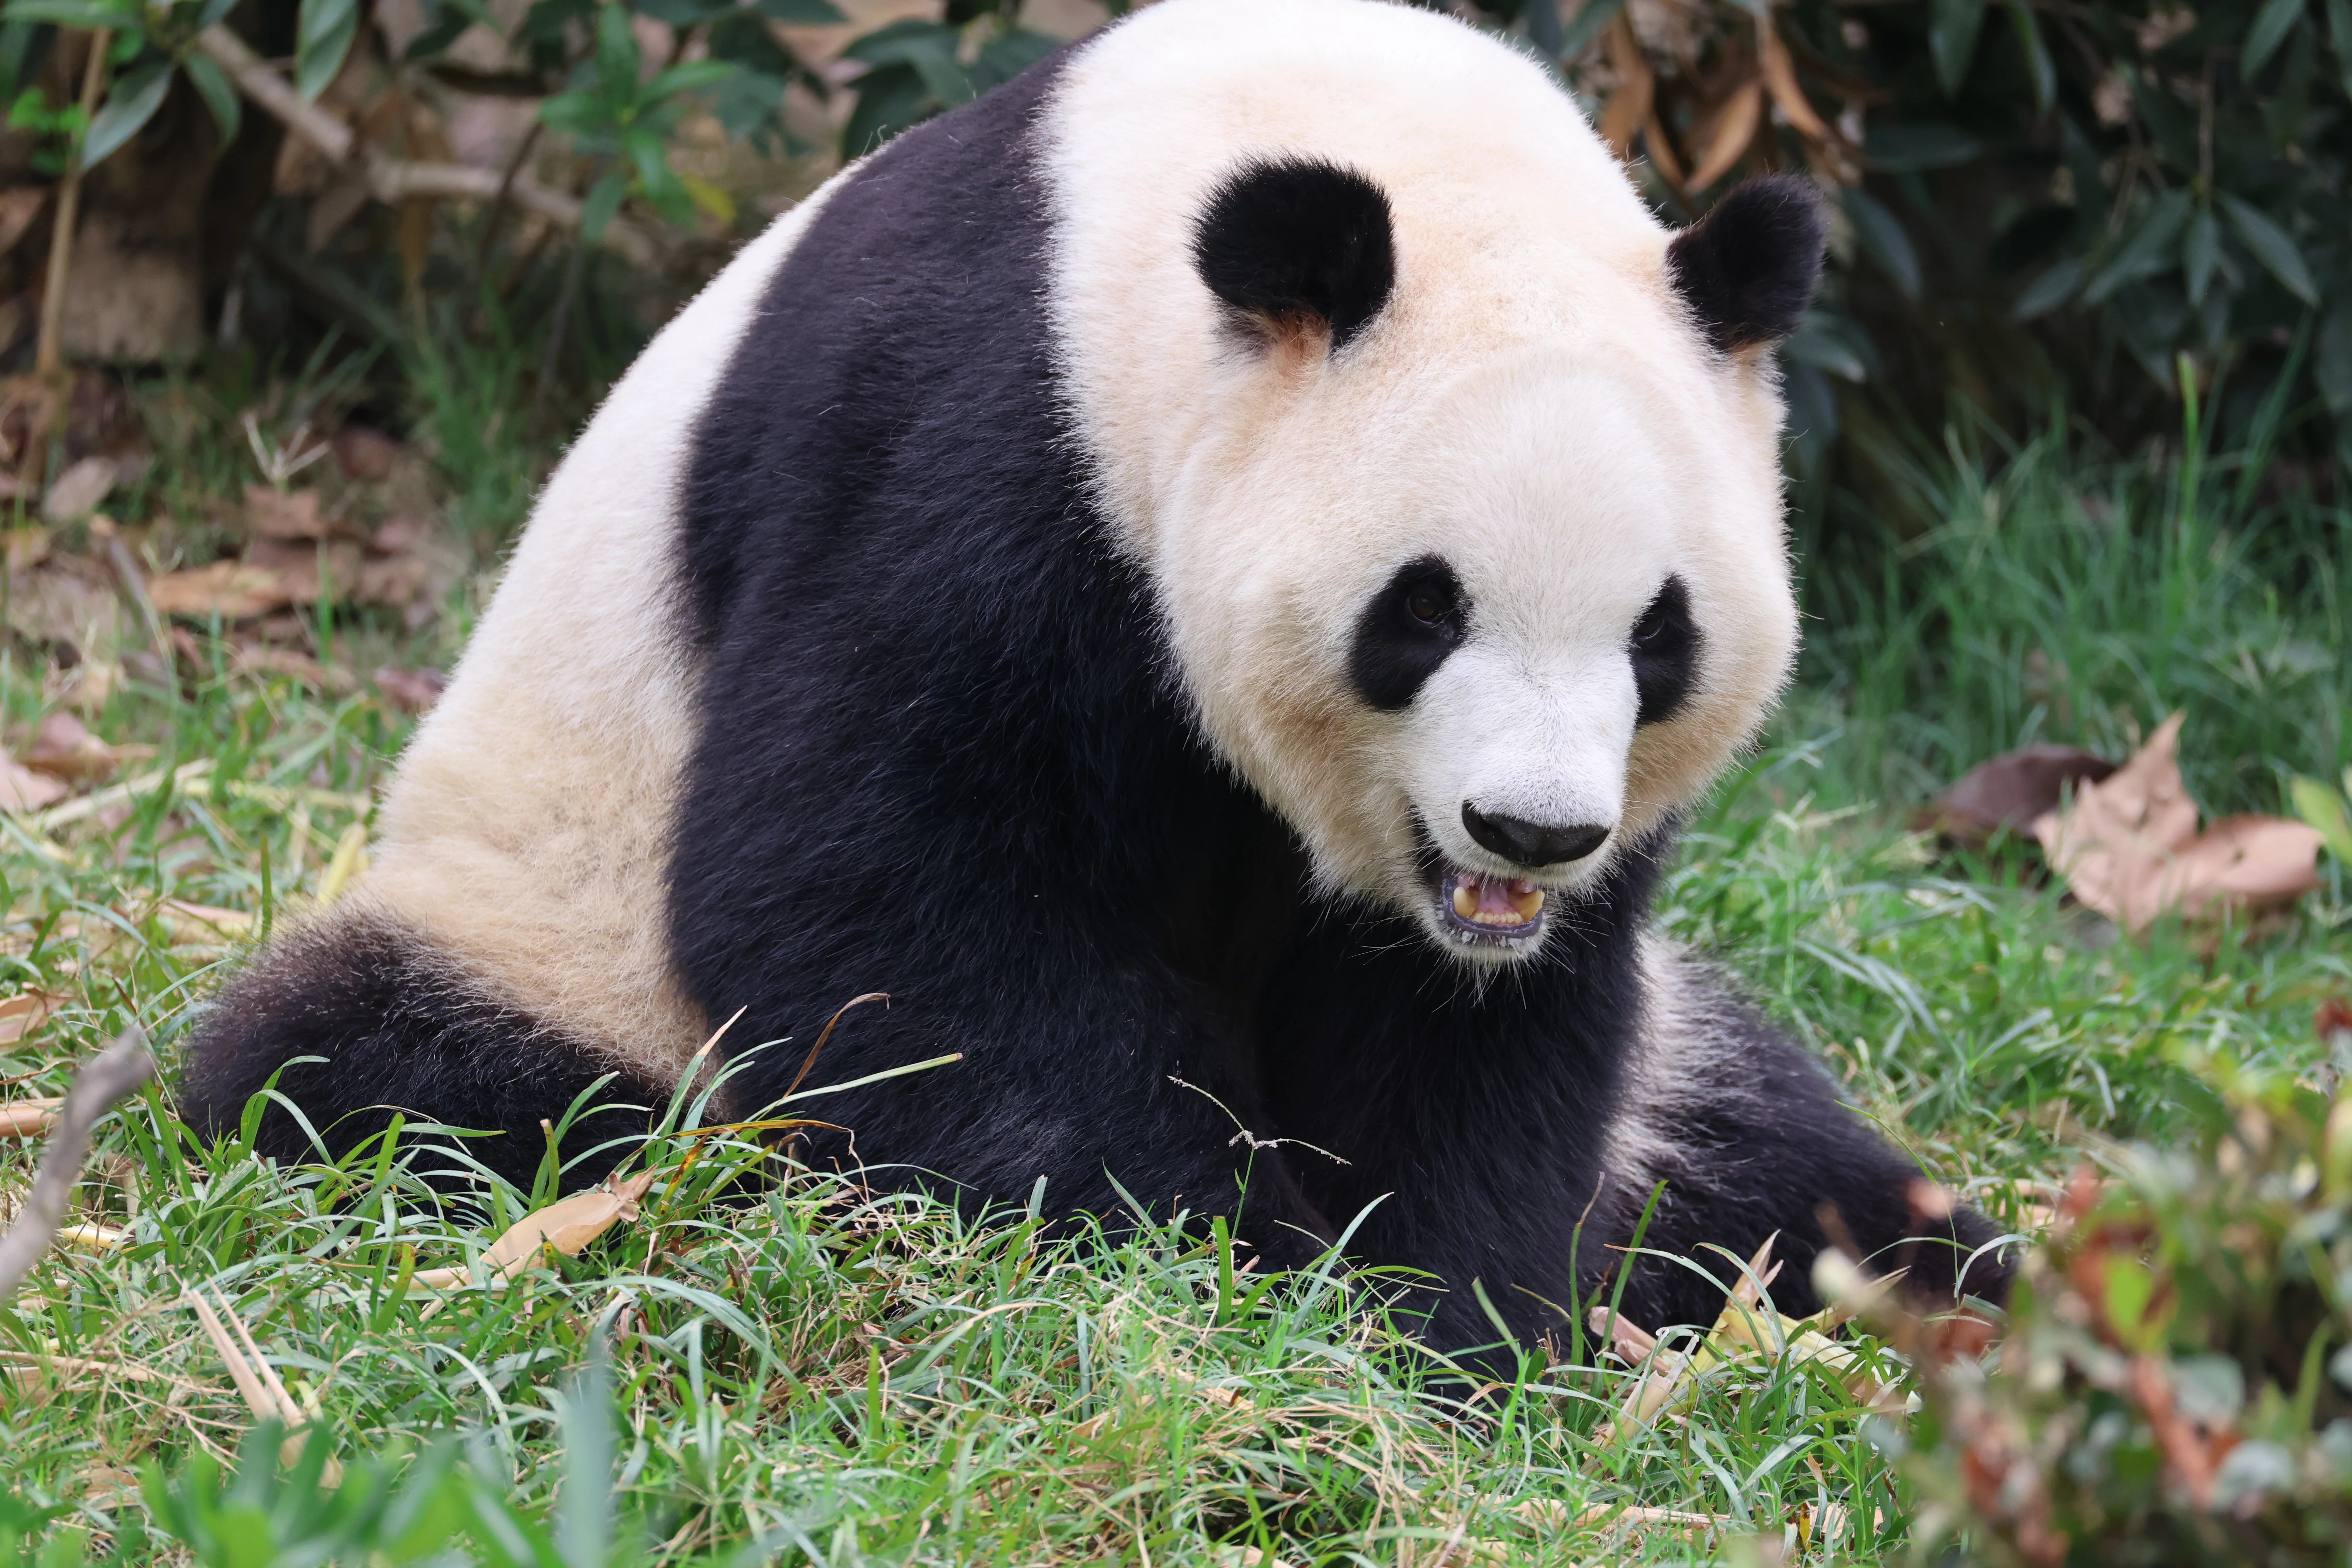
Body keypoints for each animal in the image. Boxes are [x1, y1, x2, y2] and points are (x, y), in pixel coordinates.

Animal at [180, 0, 2009, 1357]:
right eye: (1419, 612)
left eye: (1658, 633)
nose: (1530, 832)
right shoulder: (986, 440)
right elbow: (877, 886)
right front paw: (1228, 1260)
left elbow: (1478, 1029)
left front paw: (1438, 1309)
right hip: (552, 924)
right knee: (396, 1078)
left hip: (1681, 1078)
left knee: (1772, 1154)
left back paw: (1951, 1292)